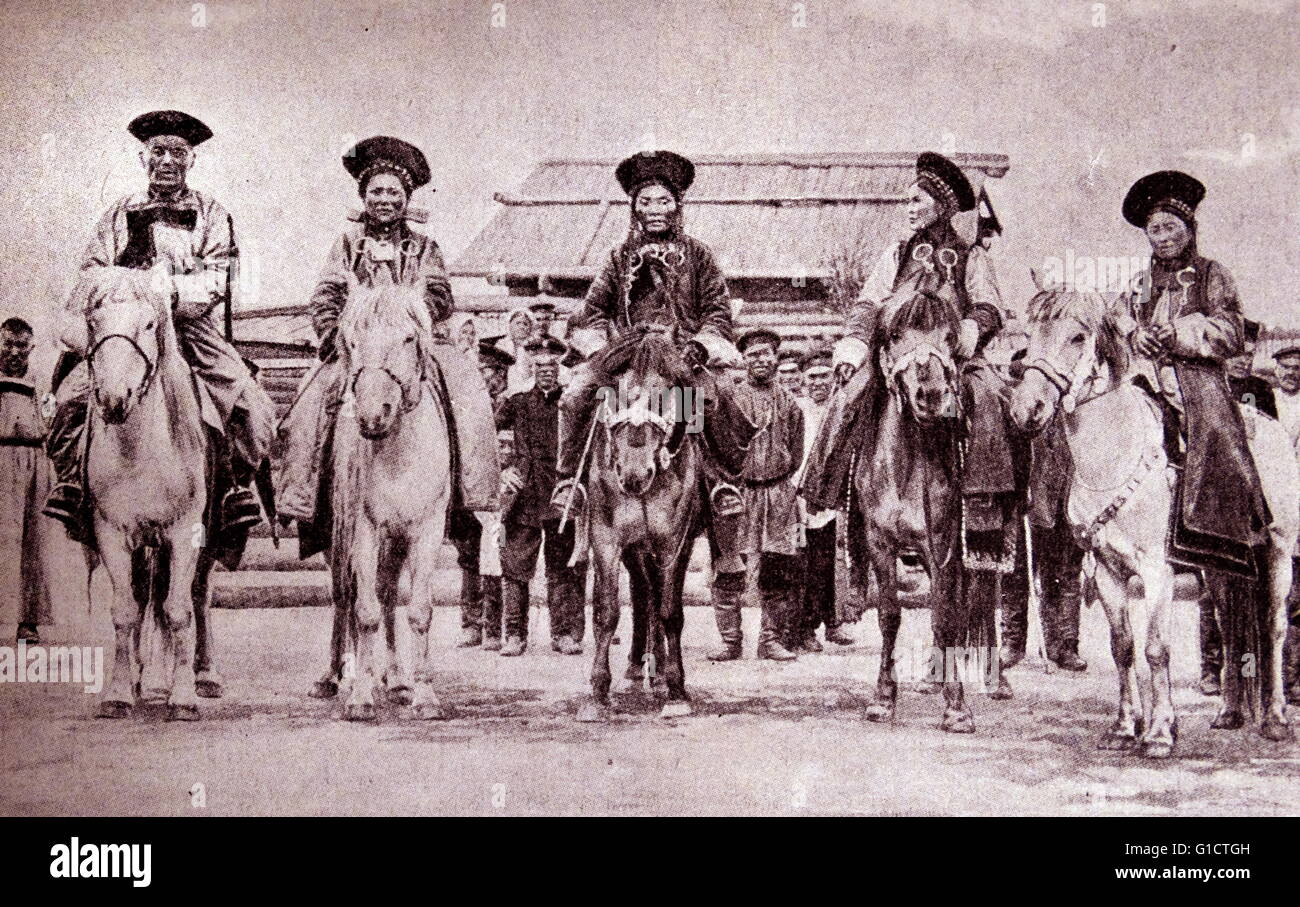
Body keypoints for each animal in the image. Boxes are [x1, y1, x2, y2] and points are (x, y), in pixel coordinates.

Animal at [80, 265, 208, 717]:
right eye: (93, 322)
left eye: (150, 323)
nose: (114, 399)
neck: (139, 454)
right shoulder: (112, 533)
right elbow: (126, 612)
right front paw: (118, 693)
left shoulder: (185, 533)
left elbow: (178, 611)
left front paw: (183, 696)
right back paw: (143, 681)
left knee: (194, 600)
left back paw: (192, 678)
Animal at [330, 283, 452, 722]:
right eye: (351, 341)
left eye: (409, 338)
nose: (372, 416)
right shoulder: (362, 530)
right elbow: (364, 611)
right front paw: (360, 698)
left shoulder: (426, 530)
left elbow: (417, 610)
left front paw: (425, 695)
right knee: (345, 595)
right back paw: (339, 678)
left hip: (397, 541)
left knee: (385, 594)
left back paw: (397, 679)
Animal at [579, 328, 702, 717]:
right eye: (613, 392)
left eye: (666, 395)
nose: (634, 474)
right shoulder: (605, 539)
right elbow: (606, 611)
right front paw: (598, 692)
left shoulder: (673, 541)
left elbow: (670, 610)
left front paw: (677, 691)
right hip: (634, 549)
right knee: (643, 593)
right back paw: (640, 666)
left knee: (655, 598)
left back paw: (660, 673)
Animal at [1003, 285, 1300, 753]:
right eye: (1030, 336)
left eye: (1077, 337)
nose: (1026, 409)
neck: (1112, 456)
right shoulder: (1108, 572)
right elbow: (1123, 648)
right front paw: (1124, 728)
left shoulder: (1157, 571)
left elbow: (1156, 649)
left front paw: (1160, 732)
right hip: (1223, 573)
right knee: (1231, 630)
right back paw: (1229, 714)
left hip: (1278, 557)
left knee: (1273, 630)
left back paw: (1274, 719)